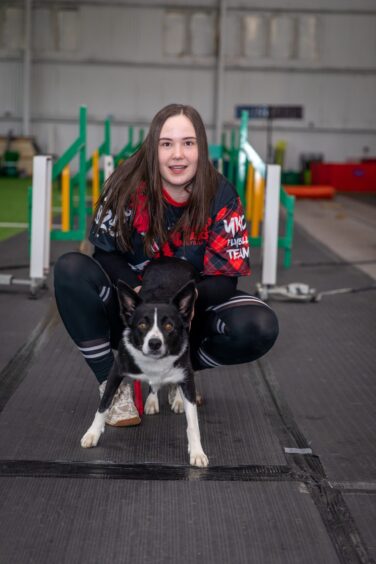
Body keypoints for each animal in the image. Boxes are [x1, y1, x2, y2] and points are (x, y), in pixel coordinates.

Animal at [81, 256, 209, 468]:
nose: (154, 343)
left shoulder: (186, 374)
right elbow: (103, 404)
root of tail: (173, 259)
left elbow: (193, 423)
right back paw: (151, 400)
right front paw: (92, 434)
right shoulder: (116, 371)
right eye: (142, 324)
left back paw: (176, 399)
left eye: (169, 326)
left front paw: (197, 451)